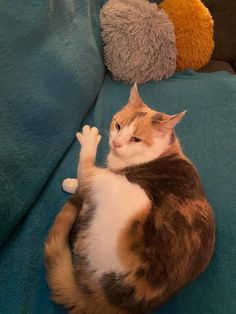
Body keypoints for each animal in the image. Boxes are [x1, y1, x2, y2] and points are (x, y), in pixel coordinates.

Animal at [44, 84, 216, 314]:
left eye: (135, 139)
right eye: (118, 125)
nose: (115, 143)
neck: (161, 151)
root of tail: (102, 300)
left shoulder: (114, 174)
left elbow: (87, 178)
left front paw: (73, 183)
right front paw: (72, 184)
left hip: (132, 194)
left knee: (87, 175)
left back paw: (89, 143)